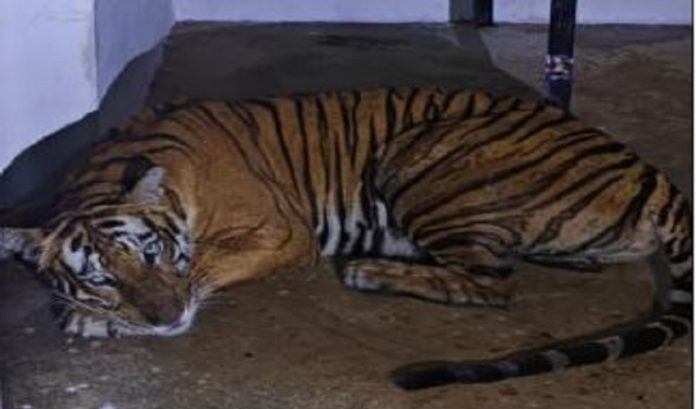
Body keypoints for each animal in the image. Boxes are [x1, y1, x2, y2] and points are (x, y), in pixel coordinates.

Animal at [0, 87, 690, 389]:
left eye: (153, 252)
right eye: (99, 275)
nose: (166, 320)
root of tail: (649, 172)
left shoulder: (281, 233)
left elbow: (205, 268)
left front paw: (95, 321)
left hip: (420, 155)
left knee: (492, 284)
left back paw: (371, 269)